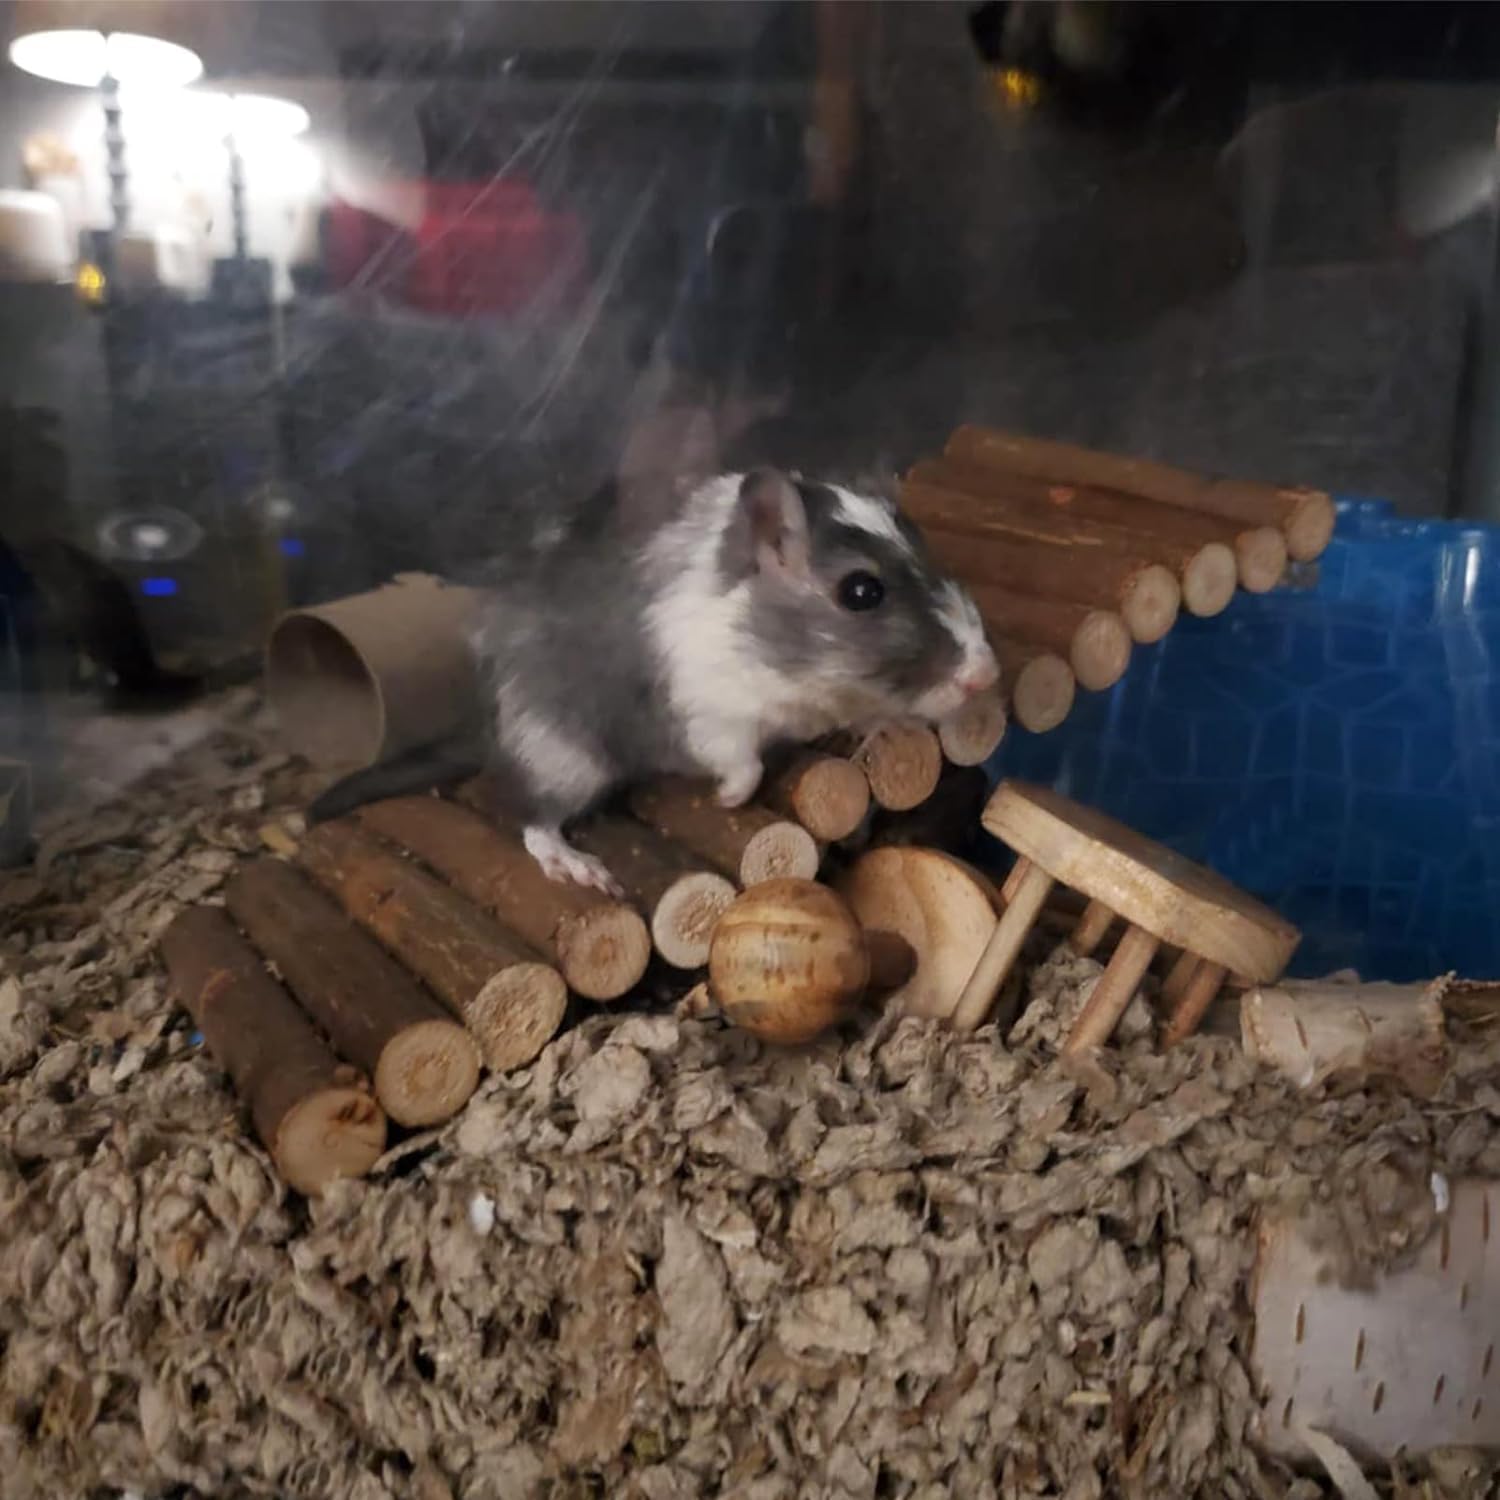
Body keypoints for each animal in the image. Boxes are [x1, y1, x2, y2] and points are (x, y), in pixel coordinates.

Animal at [308, 467, 999, 895]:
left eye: (930, 549)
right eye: (861, 592)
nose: (986, 674)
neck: (790, 668)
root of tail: (483, 729)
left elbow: (862, 714)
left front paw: (887, 725)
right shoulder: (712, 717)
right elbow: (743, 762)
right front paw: (728, 801)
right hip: (561, 756)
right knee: (530, 817)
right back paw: (584, 870)